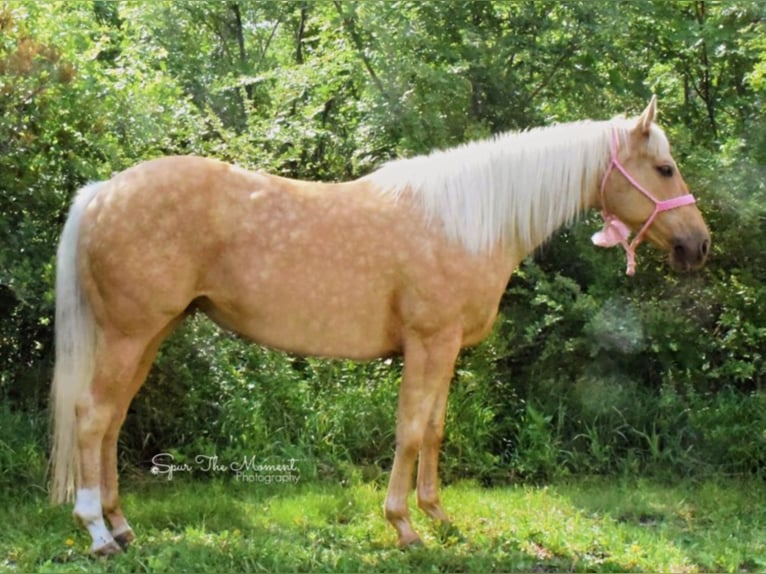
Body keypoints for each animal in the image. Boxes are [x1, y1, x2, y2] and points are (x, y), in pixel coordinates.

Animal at [51, 98, 712, 552]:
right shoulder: (428, 343)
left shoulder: (448, 349)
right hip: (130, 334)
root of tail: (101, 192)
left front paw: (438, 515)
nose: (698, 246)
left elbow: (437, 429)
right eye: (664, 167)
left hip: (147, 336)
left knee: (111, 422)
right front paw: (403, 526)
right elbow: (411, 430)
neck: (468, 221)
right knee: (92, 417)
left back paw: (121, 525)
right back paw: (98, 534)